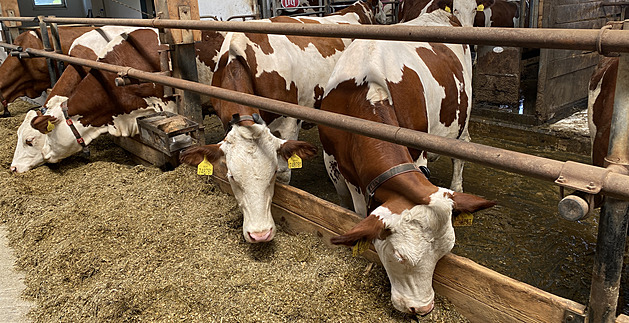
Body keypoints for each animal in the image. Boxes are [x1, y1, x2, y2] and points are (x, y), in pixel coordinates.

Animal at [318, 0, 496, 314]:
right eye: (400, 256)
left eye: (446, 251)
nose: (422, 309)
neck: (365, 92)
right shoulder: (337, 163)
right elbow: (351, 208)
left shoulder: (418, 152)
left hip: (463, 116)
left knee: (462, 150)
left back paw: (460, 188)